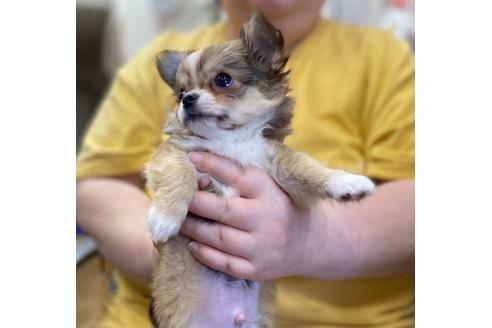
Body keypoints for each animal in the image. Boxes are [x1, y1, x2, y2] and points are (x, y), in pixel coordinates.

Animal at [144, 12, 374, 328]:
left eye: (223, 79)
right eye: (180, 93)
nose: (187, 99)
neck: (231, 141)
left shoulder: (276, 162)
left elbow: (306, 166)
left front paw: (345, 182)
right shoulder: (172, 153)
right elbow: (181, 172)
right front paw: (165, 217)